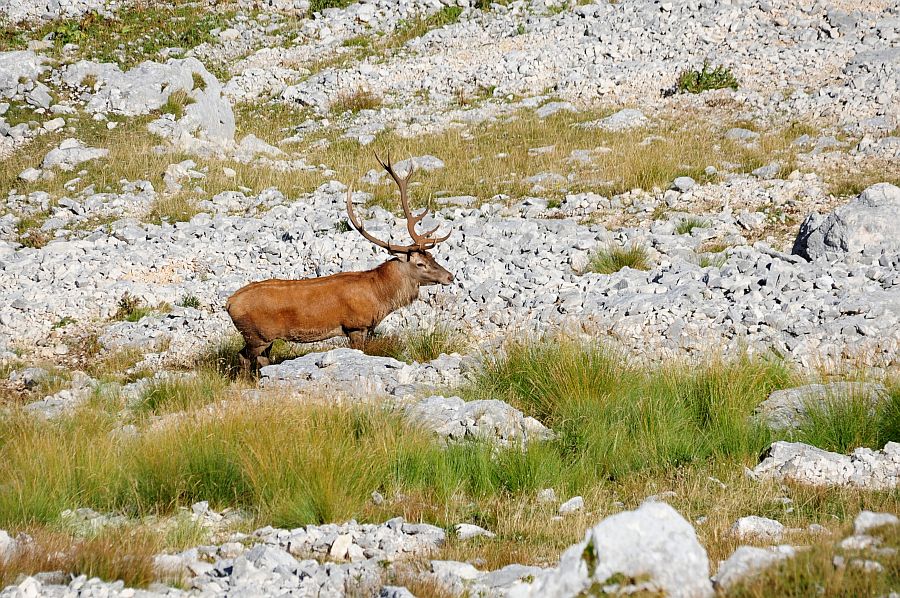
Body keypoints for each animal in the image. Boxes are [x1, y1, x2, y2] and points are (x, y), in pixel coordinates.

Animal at [225, 156, 450, 370]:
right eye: (420, 264)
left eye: (432, 257)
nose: (450, 276)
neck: (379, 294)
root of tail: (229, 303)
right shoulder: (356, 326)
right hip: (257, 335)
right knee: (243, 356)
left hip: (264, 338)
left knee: (261, 359)